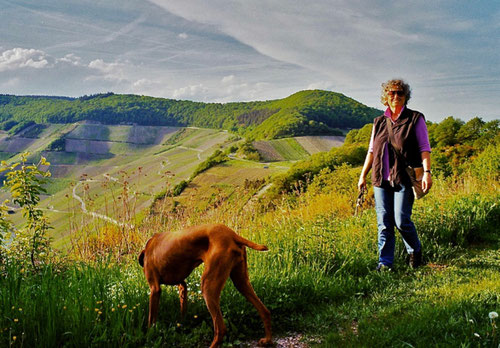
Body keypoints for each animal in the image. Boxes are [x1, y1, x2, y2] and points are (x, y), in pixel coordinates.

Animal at [138, 224, 274, 346]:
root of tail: (232, 234)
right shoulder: (182, 285)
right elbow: (183, 308)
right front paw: (182, 323)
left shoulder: (155, 289)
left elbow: (151, 319)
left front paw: (149, 335)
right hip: (241, 282)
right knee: (264, 311)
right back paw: (267, 340)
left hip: (208, 285)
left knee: (220, 328)